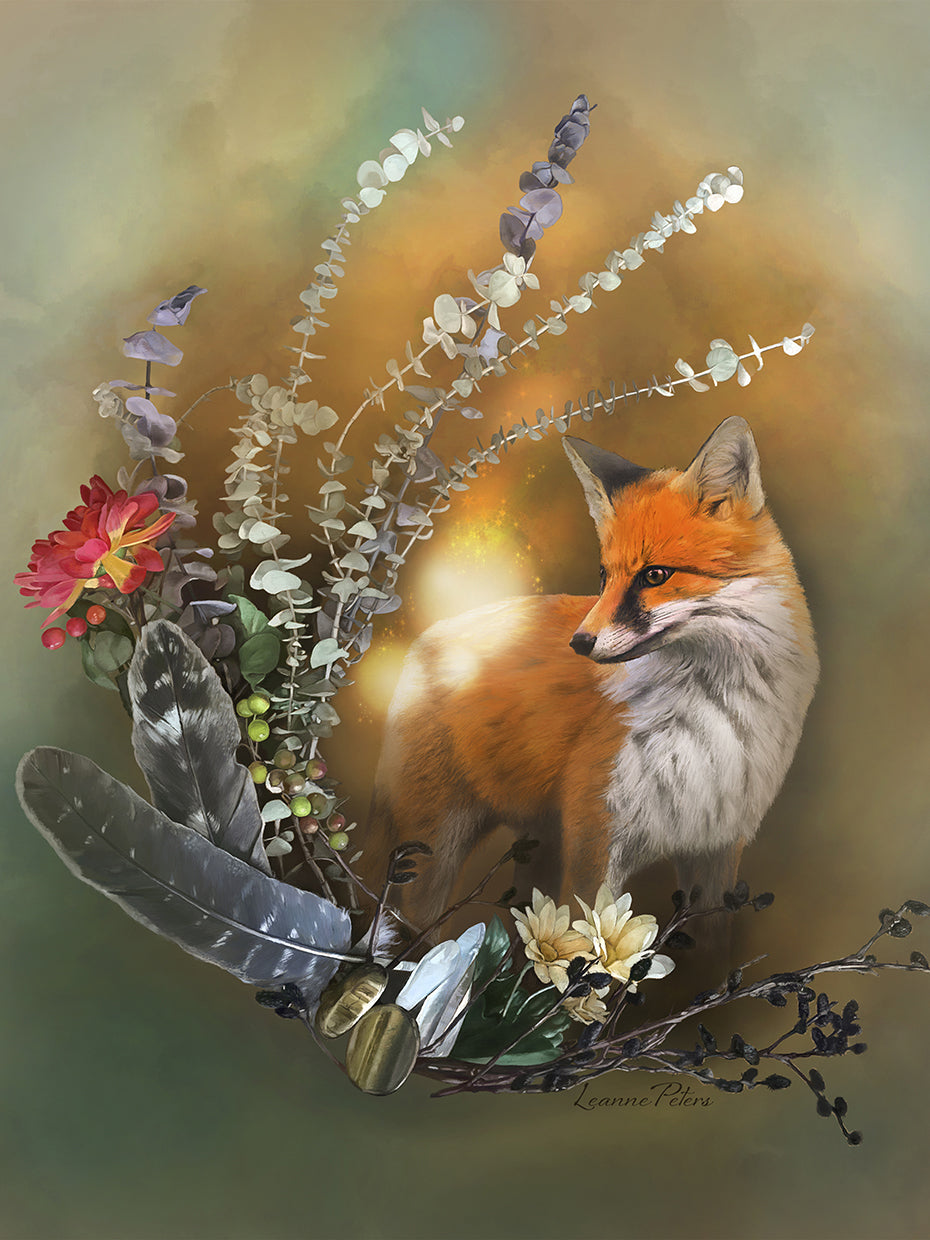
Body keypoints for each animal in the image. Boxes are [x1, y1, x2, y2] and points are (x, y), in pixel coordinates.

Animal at [365, 417, 819, 940]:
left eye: (655, 575)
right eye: (604, 577)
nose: (580, 643)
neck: (707, 716)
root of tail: (424, 643)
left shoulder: (717, 850)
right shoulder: (596, 843)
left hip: (534, 849)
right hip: (433, 851)